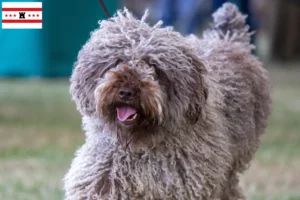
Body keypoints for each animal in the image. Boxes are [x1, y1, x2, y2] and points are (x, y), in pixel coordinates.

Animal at [64, 3, 270, 200]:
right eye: (117, 61)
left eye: (154, 67)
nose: (127, 91)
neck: (140, 147)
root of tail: (228, 39)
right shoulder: (102, 177)